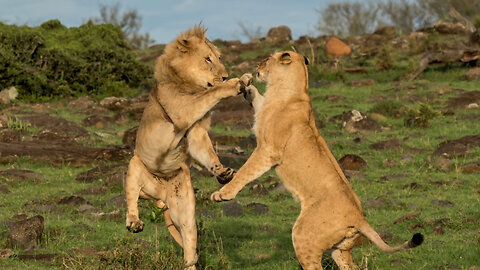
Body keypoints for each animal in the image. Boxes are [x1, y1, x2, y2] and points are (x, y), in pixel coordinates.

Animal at [124, 25, 253, 270]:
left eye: (219, 57)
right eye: (207, 59)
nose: (224, 75)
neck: (189, 83)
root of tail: (159, 195)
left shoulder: (195, 130)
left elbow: (206, 150)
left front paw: (222, 172)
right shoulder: (183, 111)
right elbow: (211, 93)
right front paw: (235, 82)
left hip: (184, 211)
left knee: (189, 246)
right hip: (134, 165)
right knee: (132, 198)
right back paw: (134, 223)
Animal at [212, 51, 422, 270]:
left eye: (268, 58)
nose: (257, 66)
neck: (291, 90)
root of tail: (359, 217)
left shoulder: (268, 150)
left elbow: (246, 171)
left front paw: (222, 194)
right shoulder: (264, 111)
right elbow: (258, 99)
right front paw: (246, 84)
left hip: (304, 236)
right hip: (341, 249)